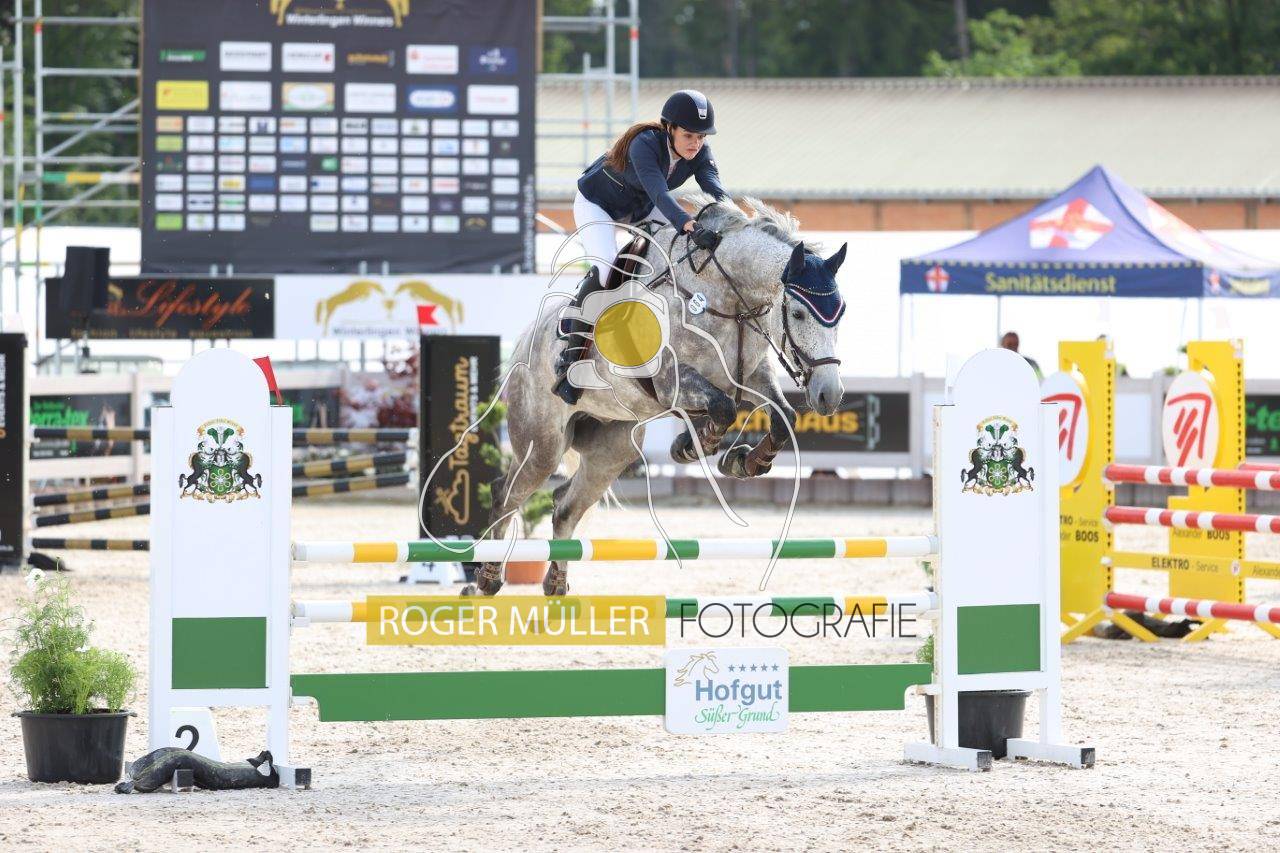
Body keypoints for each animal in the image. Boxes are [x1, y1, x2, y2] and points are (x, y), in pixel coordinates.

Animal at [461, 195, 847, 597]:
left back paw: (556, 583)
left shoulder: (751, 377)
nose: (829, 394)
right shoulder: (669, 380)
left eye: (841, 313)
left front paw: (743, 461)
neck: (724, 298)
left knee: (564, 506)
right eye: (799, 313)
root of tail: (525, 345)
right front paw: (695, 445)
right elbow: (722, 408)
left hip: (613, 451)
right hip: (542, 445)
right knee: (507, 495)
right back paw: (486, 578)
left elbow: (783, 418)